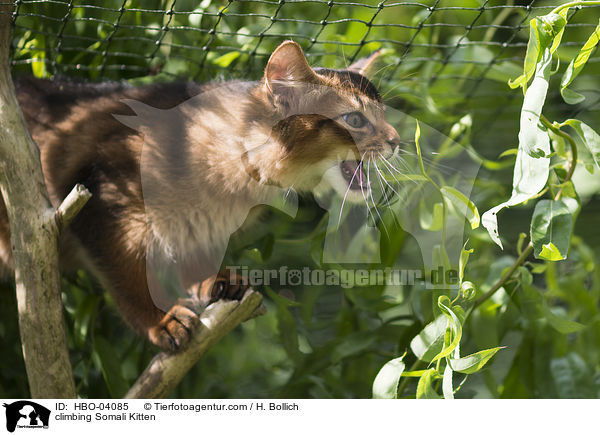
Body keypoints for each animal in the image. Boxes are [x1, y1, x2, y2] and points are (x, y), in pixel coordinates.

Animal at [1, 42, 404, 352]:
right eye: (355, 119)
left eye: (384, 115)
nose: (397, 141)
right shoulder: (105, 201)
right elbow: (128, 278)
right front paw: (159, 320)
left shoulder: (201, 229)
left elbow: (194, 258)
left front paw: (213, 281)